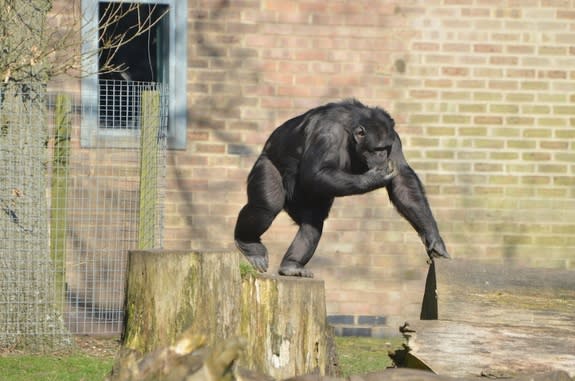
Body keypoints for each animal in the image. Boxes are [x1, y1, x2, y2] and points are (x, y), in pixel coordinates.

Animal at [234, 98, 450, 276]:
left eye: (385, 148)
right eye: (376, 149)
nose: (382, 156)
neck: (352, 135)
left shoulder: (394, 139)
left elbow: (403, 181)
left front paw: (434, 238)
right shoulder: (327, 134)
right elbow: (315, 173)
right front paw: (374, 178)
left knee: (313, 222)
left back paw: (292, 265)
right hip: (267, 164)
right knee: (267, 206)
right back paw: (249, 244)